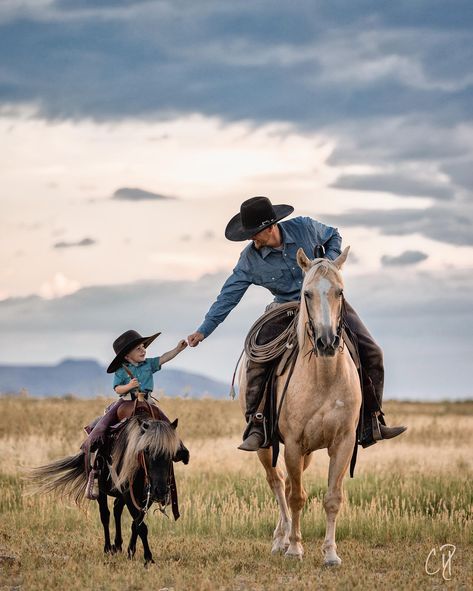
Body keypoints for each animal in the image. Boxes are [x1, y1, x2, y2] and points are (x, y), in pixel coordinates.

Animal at [28, 416, 183, 564]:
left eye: (172, 453)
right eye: (146, 450)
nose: (161, 491)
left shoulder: (146, 498)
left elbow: (136, 523)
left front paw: (131, 551)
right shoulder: (129, 494)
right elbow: (141, 526)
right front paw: (148, 558)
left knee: (116, 509)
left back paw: (118, 545)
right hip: (101, 491)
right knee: (105, 515)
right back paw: (108, 548)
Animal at [238, 247, 360, 568]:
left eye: (340, 291)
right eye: (307, 293)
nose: (327, 342)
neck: (323, 376)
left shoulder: (343, 443)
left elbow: (332, 498)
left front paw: (330, 554)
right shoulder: (292, 444)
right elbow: (296, 497)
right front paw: (294, 548)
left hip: (306, 453)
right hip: (266, 446)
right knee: (279, 483)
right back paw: (281, 540)